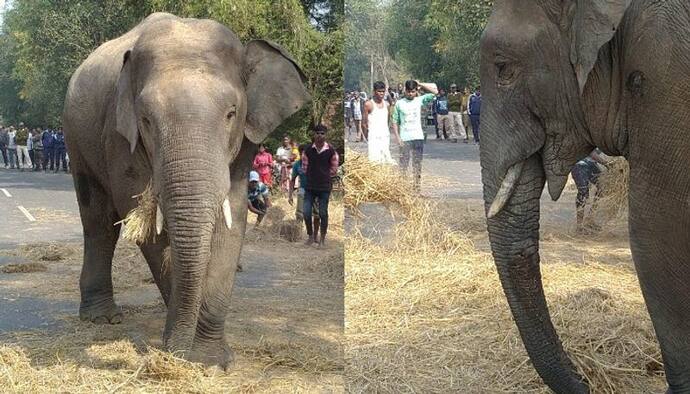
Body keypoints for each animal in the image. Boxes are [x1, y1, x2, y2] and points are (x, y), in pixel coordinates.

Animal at [61, 13, 310, 370]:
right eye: (146, 120)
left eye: (231, 113)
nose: (172, 353)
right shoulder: (118, 135)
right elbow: (143, 221)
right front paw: (184, 352)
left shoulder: (245, 143)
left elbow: (232, 218)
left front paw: (209, 359)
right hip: (76, 138)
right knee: (98, 221)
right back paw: (103, 318)